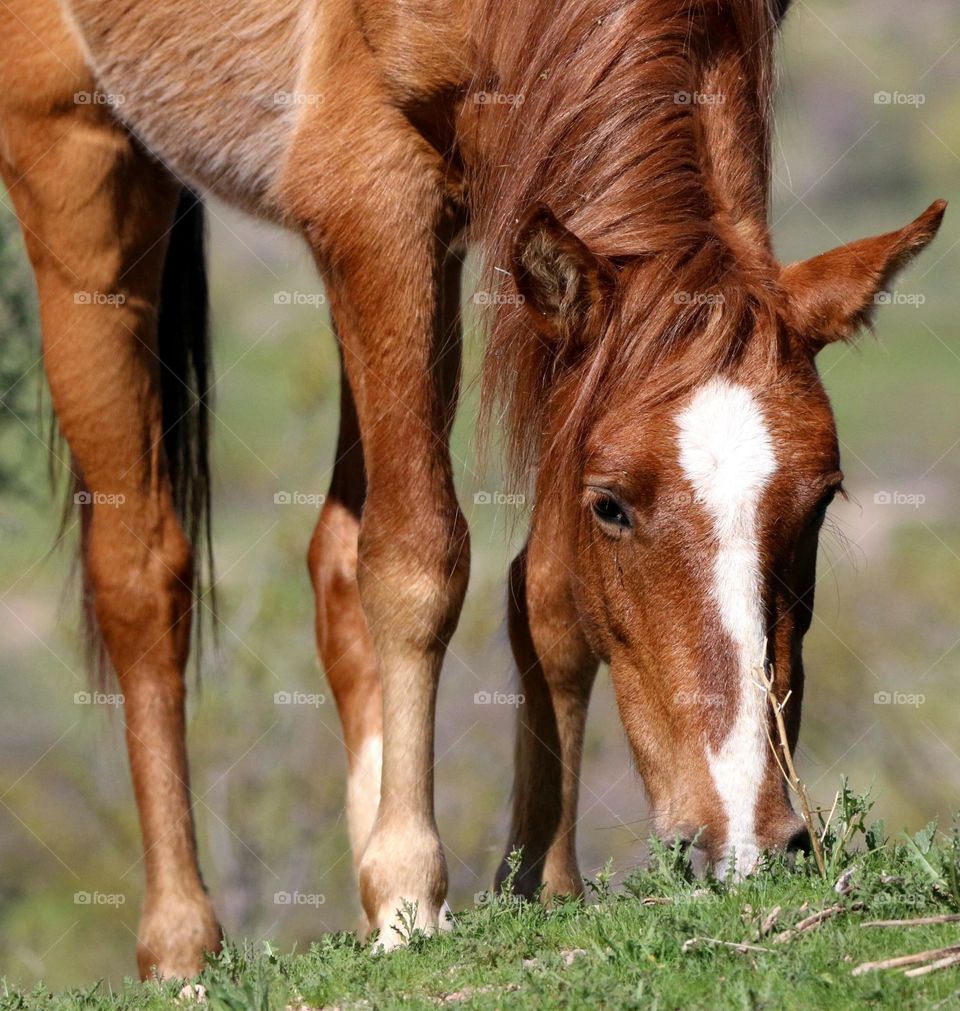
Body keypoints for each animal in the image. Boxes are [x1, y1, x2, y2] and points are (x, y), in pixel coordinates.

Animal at [0, 0, 944, 980]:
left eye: (823, 498)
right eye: (613, 505)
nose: (755, 841)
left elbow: (545, 591)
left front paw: (539, 880)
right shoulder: (377, 196)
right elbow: (419, 563)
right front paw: (412, 890)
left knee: (332, 562)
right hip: (80, 171)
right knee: (144, 575)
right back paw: (184, 942)